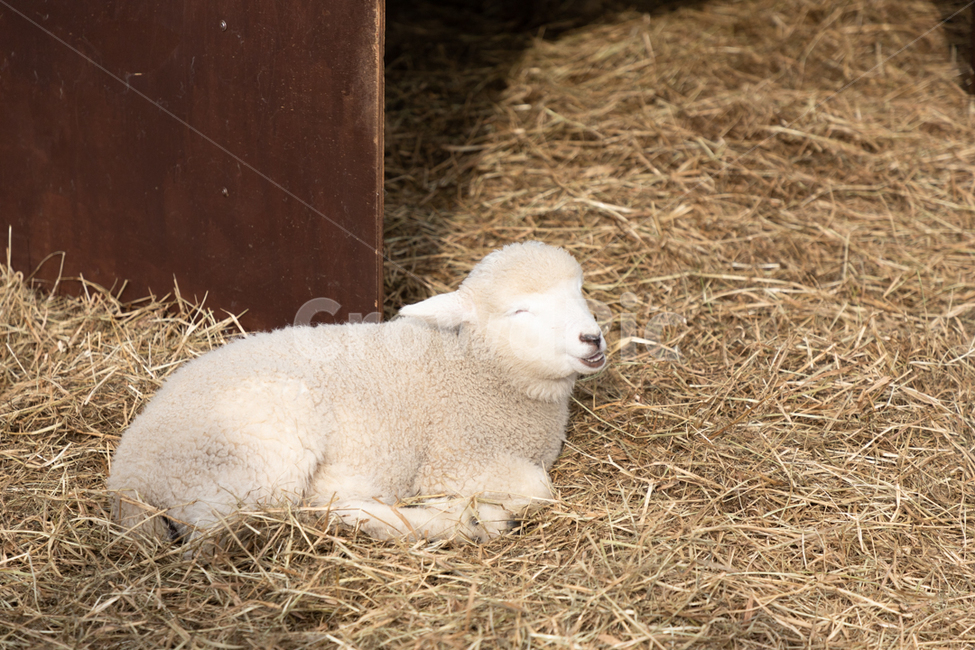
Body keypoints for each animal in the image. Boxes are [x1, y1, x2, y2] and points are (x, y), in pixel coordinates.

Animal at [107, 241, 607, 545]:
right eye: (520, 311)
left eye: (580, 291)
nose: (593, 339)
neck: (480, 371)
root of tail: (129, 475)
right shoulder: (454, 458)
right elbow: (539, 489)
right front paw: (465, 511)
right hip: (259, 446)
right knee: (271, 521)